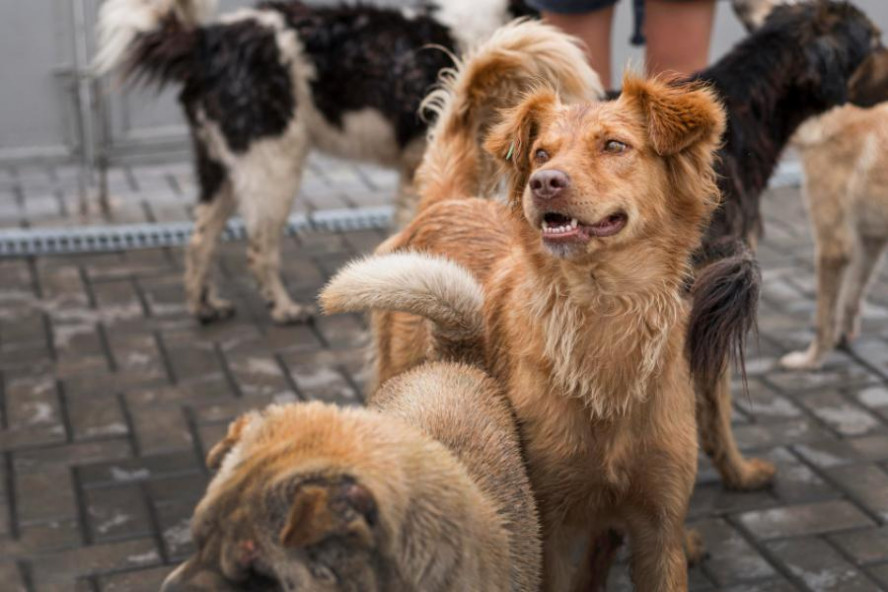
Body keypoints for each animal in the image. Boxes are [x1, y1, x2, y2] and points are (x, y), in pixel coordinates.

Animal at [95, 0, 540, 324]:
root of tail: (207, 42)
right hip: (274, 165)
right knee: (258, 248)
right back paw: (283, 309)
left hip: (221, 167)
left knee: (200, 240)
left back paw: (204, 307)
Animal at [320, 18, 728, 588]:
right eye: (541, 154)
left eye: (615, 145)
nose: (544, 182)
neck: (602, 313)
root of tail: (447, 200)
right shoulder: (545, 527)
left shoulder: (658, 531)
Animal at [776, 102, 888, 370]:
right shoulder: (870, 240)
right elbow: (851, 296)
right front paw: (843, 338)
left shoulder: (833, 247)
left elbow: (823, 319)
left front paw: (811, 361)